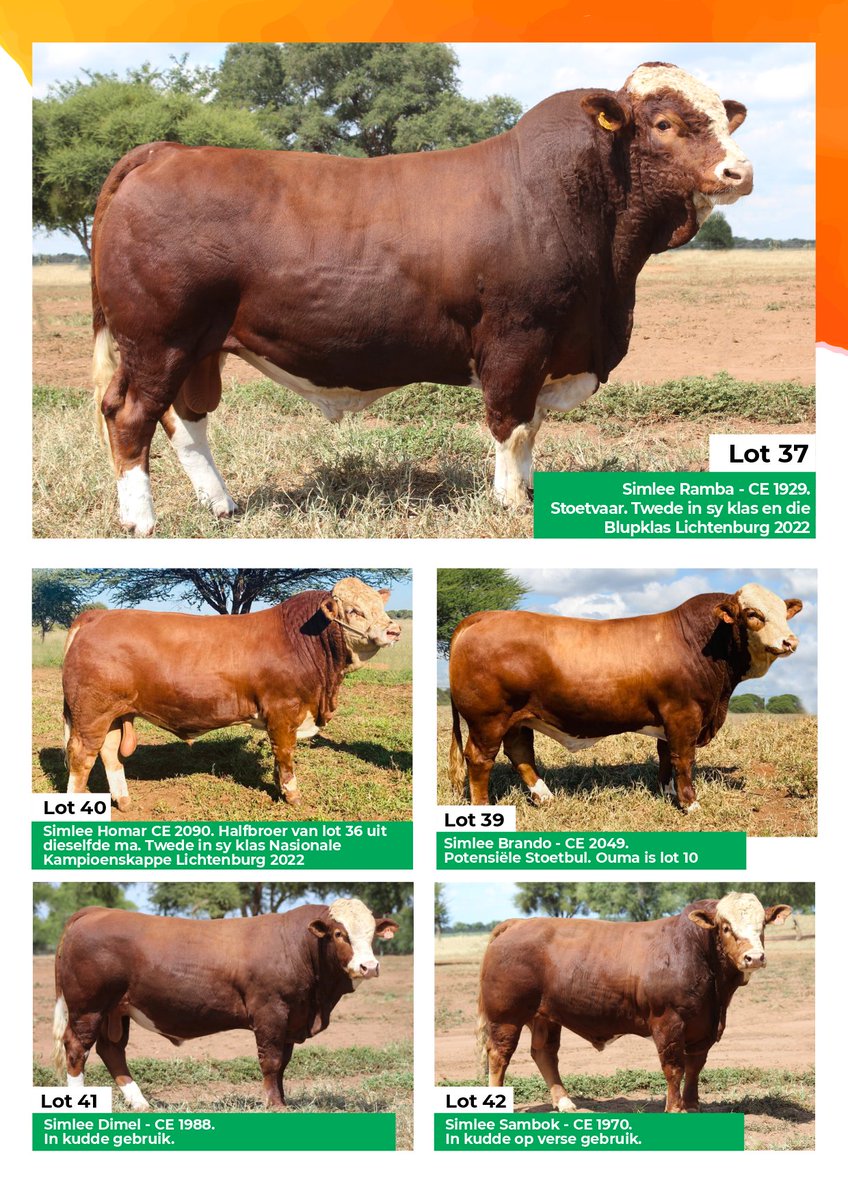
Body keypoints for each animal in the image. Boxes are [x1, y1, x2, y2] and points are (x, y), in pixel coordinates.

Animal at [52, 898, 399, 1111]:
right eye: (340, 934)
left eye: (372, 934)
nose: (369, 966)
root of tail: (95, 911)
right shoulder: (271, 1012)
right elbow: (271, 1061)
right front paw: (274, 1105)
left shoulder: (290, 1017)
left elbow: (283, 1064)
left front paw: (282, 1100)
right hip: (89, 1007)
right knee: (76, 1048)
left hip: (116, 1009)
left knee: (112, 1051)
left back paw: (141, 1103)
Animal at [62, 577, 401, 809]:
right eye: (354, 611)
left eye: (380, 607)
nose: (394, 630)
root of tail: (95, 616)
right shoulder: (283, 710)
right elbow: (285, 753)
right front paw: (292, 795)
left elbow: (277, 755)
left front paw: (279, 786)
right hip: (91, 713)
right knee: (81, 757)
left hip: (114, 713)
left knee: (108, 753)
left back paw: (123, 801)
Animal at [89, 62, 752, 535]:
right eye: (665, 124)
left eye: (726, 121)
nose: (739, 173)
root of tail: (166, 150)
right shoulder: (518, 338)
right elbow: (511, 425)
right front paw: (511, 502)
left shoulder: (558, 346)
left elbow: (532, 427)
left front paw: (528, 491)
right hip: (158, 339)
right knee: (130, 415)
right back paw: (142, 519)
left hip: (199, 347)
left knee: (187, 418)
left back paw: (221, 504)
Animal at [449, 583, 802, 811]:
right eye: (754, 614)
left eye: (785, 613)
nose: (790, 642)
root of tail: (481, 616)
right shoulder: (684, 714)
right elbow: (683, 758)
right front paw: (690, 803)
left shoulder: (669, 719)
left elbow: (665, 755)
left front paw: (668, 792)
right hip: (488, 719)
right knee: (480, 759)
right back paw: (482, 807)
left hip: (517, 718)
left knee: (520, 753)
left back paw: (545, 797)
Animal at [477, 892, 792, 1113]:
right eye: (726, 927)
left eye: (762, 926)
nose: (755, 957)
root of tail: (517, 923)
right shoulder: (668, 1022)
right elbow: (674, 1067)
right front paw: (675, 1108)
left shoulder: (704, 1025)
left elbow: (695, 1066)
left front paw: (692, 1105)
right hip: (506, 1015)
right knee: (500, 1055)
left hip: (545, 1015)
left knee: (544, 1053)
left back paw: (564, 1102)